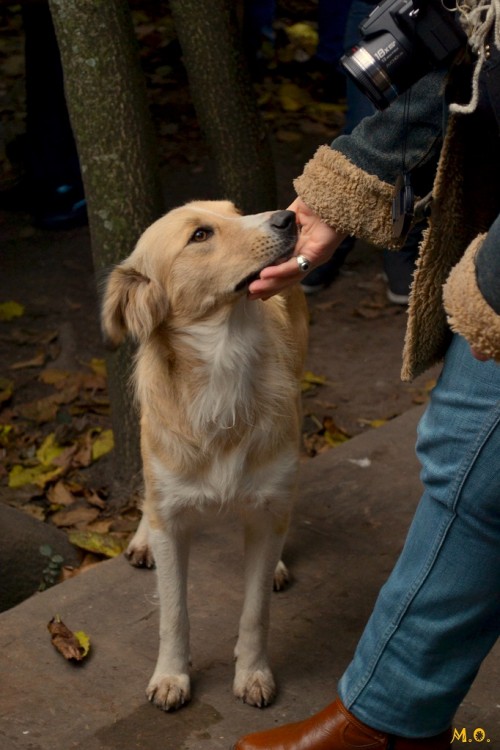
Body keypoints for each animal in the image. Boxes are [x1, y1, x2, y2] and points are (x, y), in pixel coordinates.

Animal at [101, 200, 308, 712]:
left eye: (237, 211)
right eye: (200, 235)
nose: (288, 218)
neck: (222, 368)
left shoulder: (269, 502)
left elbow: (255, 611)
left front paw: (253, 673)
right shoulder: (172, 521)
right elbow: (174, 612)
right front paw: (171, 675)